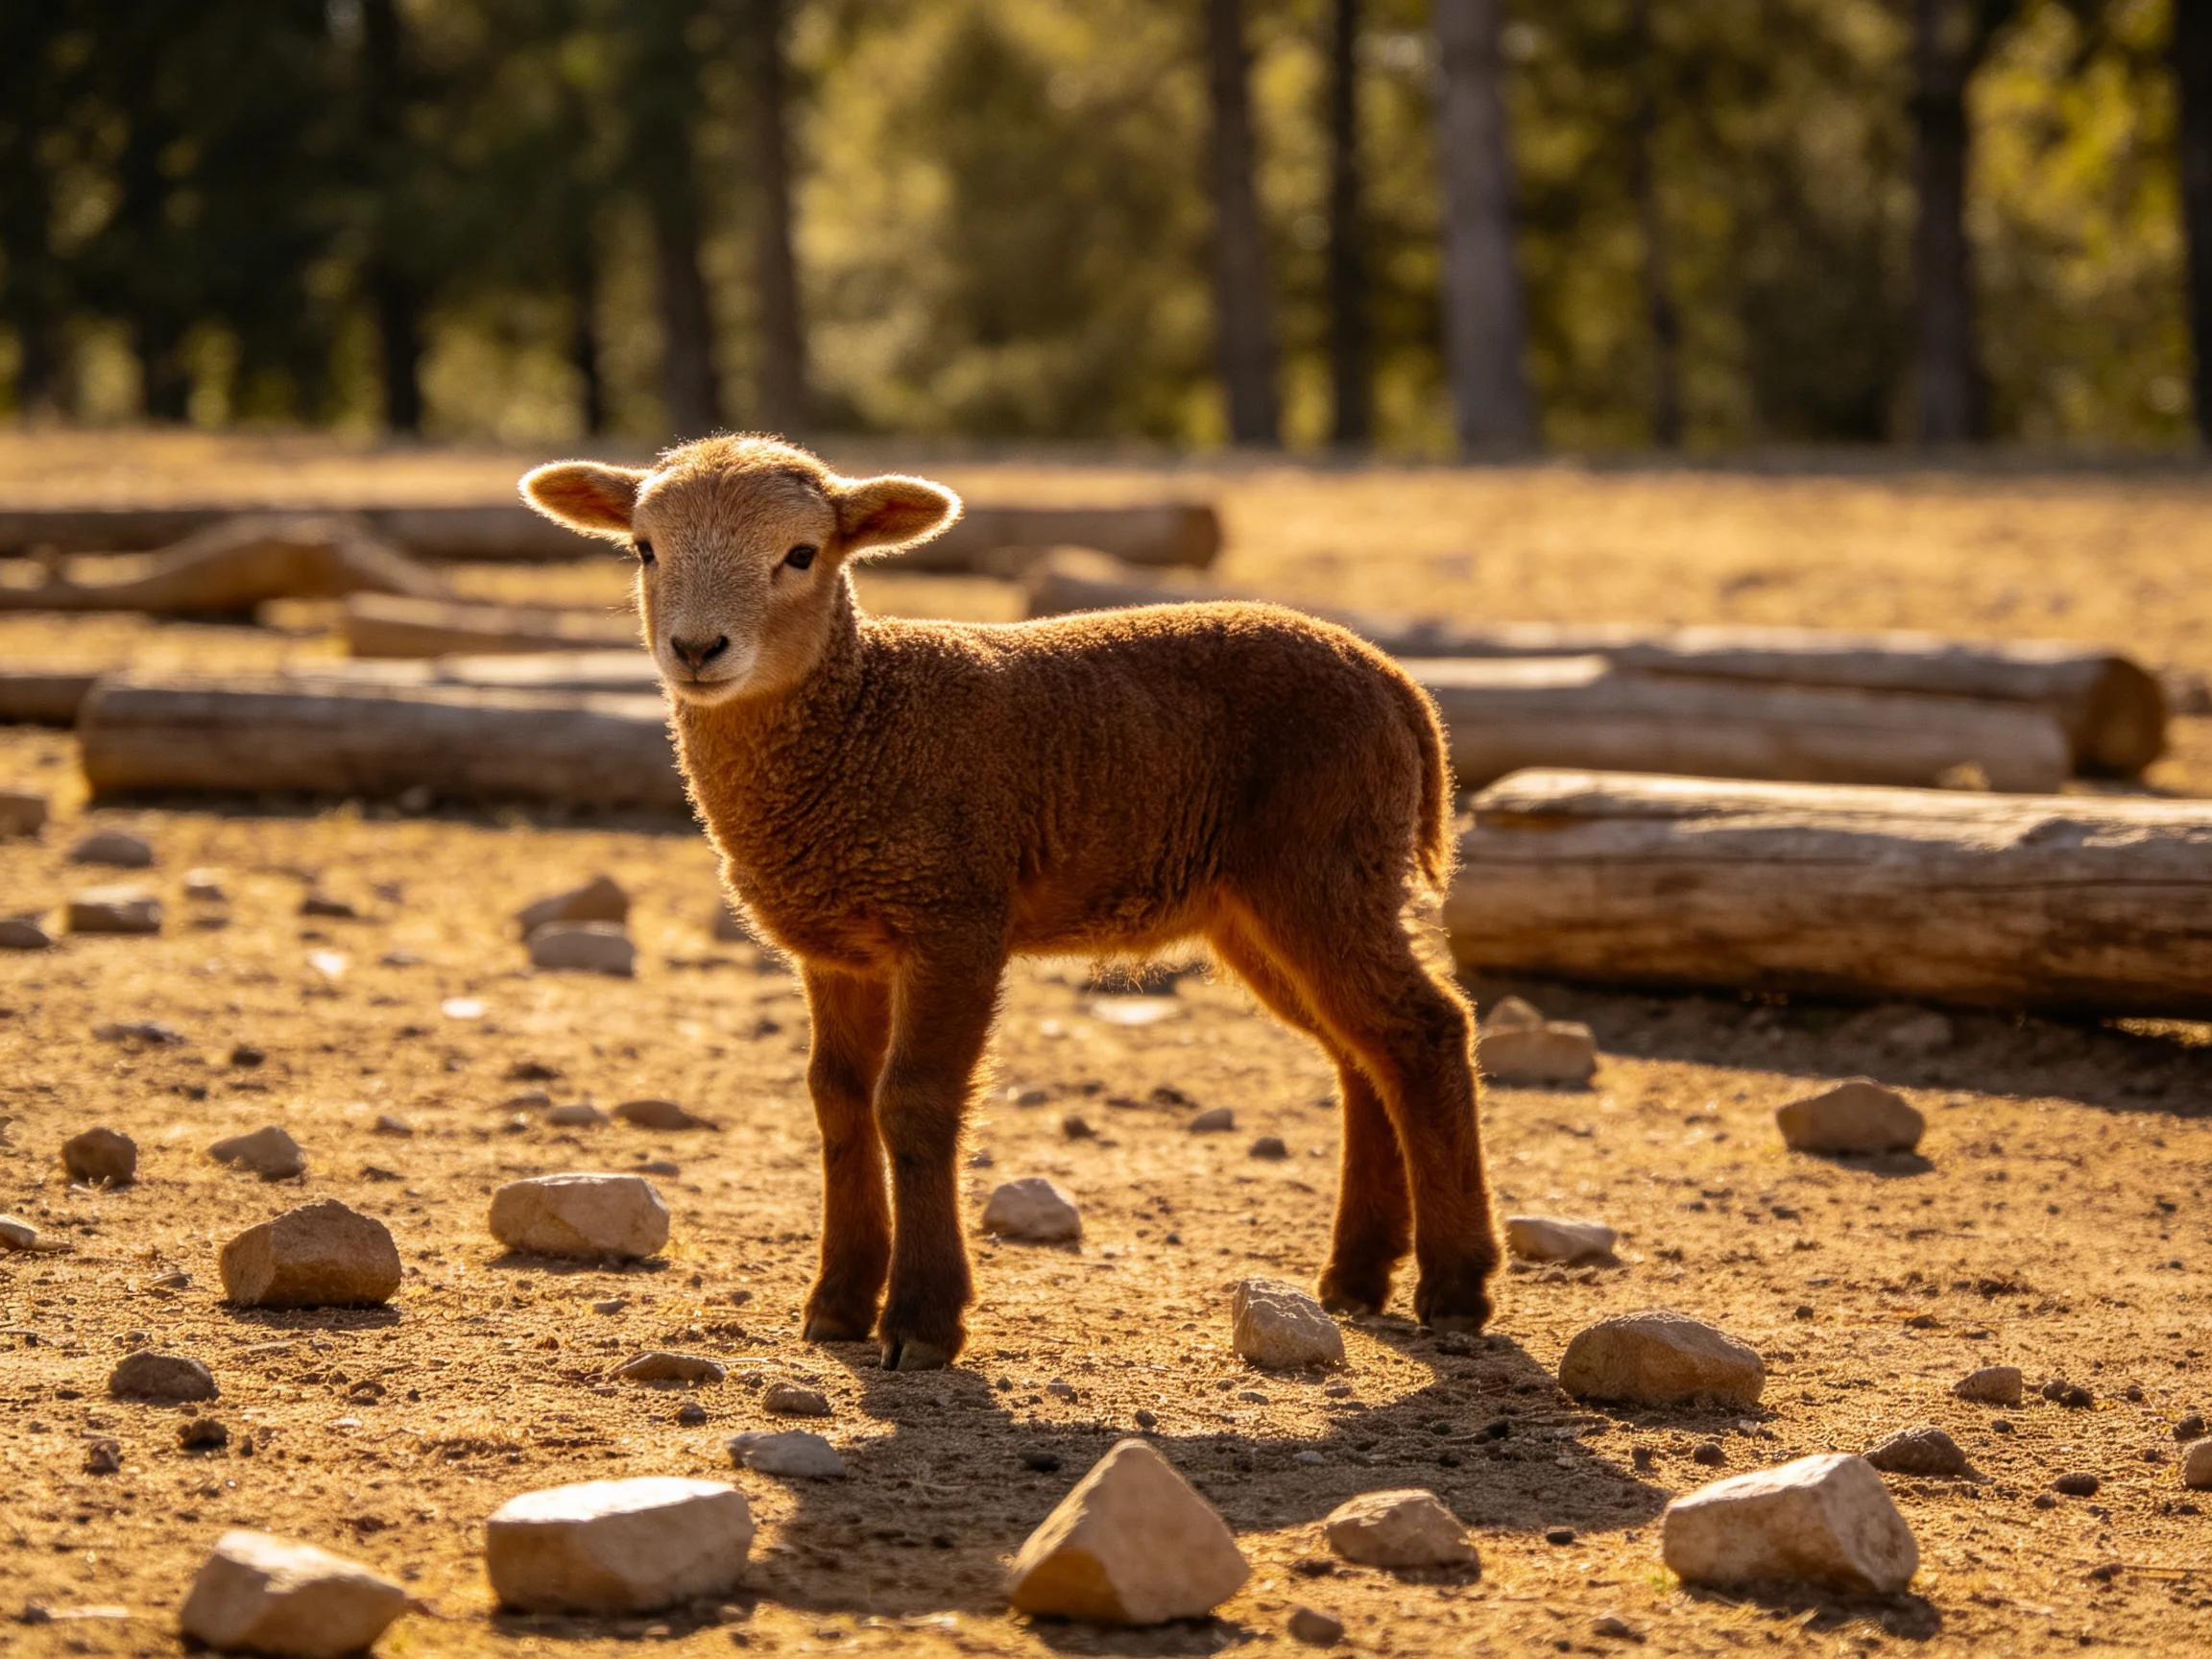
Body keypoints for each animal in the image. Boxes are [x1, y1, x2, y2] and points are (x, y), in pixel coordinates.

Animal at [521, 434, 1498, 1369]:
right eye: (645, 549)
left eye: (801, 554)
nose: (696, 649)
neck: (864, 718)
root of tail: (1401, 687)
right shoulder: (836, 947)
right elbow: (837, 1100)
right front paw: (837, 1305)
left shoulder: (954, 918)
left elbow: (913, 1101)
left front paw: (921, 1321)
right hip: (1259, 907)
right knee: (1363, 1051)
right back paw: (1357, 1276)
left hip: (1326, 866)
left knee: (1424, 1029)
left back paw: (1456, 1285)